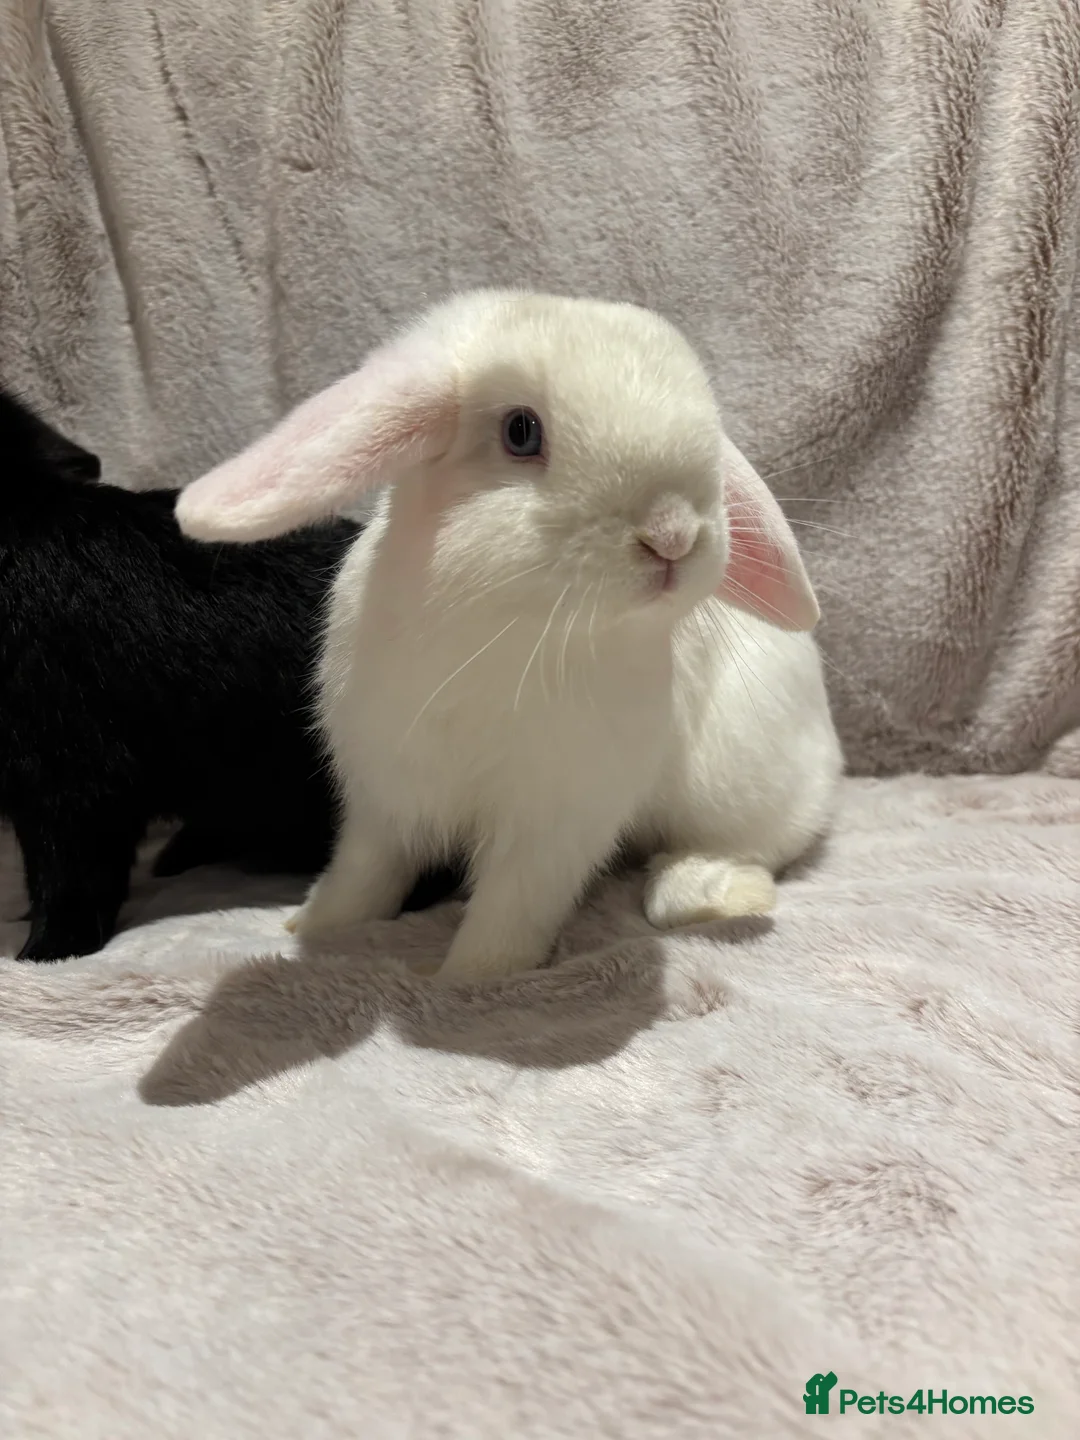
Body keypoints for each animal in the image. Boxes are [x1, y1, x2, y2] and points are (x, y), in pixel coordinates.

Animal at [176, 290, 844, 984]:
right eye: (521, 432)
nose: (674, 535)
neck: (510, 629)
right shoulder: (385, 793)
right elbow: (365, 872)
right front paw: (314, 924)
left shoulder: (557, 821)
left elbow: (513, 905)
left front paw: (473, 978)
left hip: (737, 786)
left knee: (749, 848)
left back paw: (704, 893)